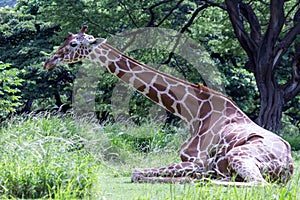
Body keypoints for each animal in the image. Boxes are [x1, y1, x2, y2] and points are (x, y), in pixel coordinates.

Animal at [44, 25, 292, 186]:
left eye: (73, 43)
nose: (49, 61)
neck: (194, 113)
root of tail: (288, 166)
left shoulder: (196, 161)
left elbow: (136, 172)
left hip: (240, 156)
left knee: (259, 184)